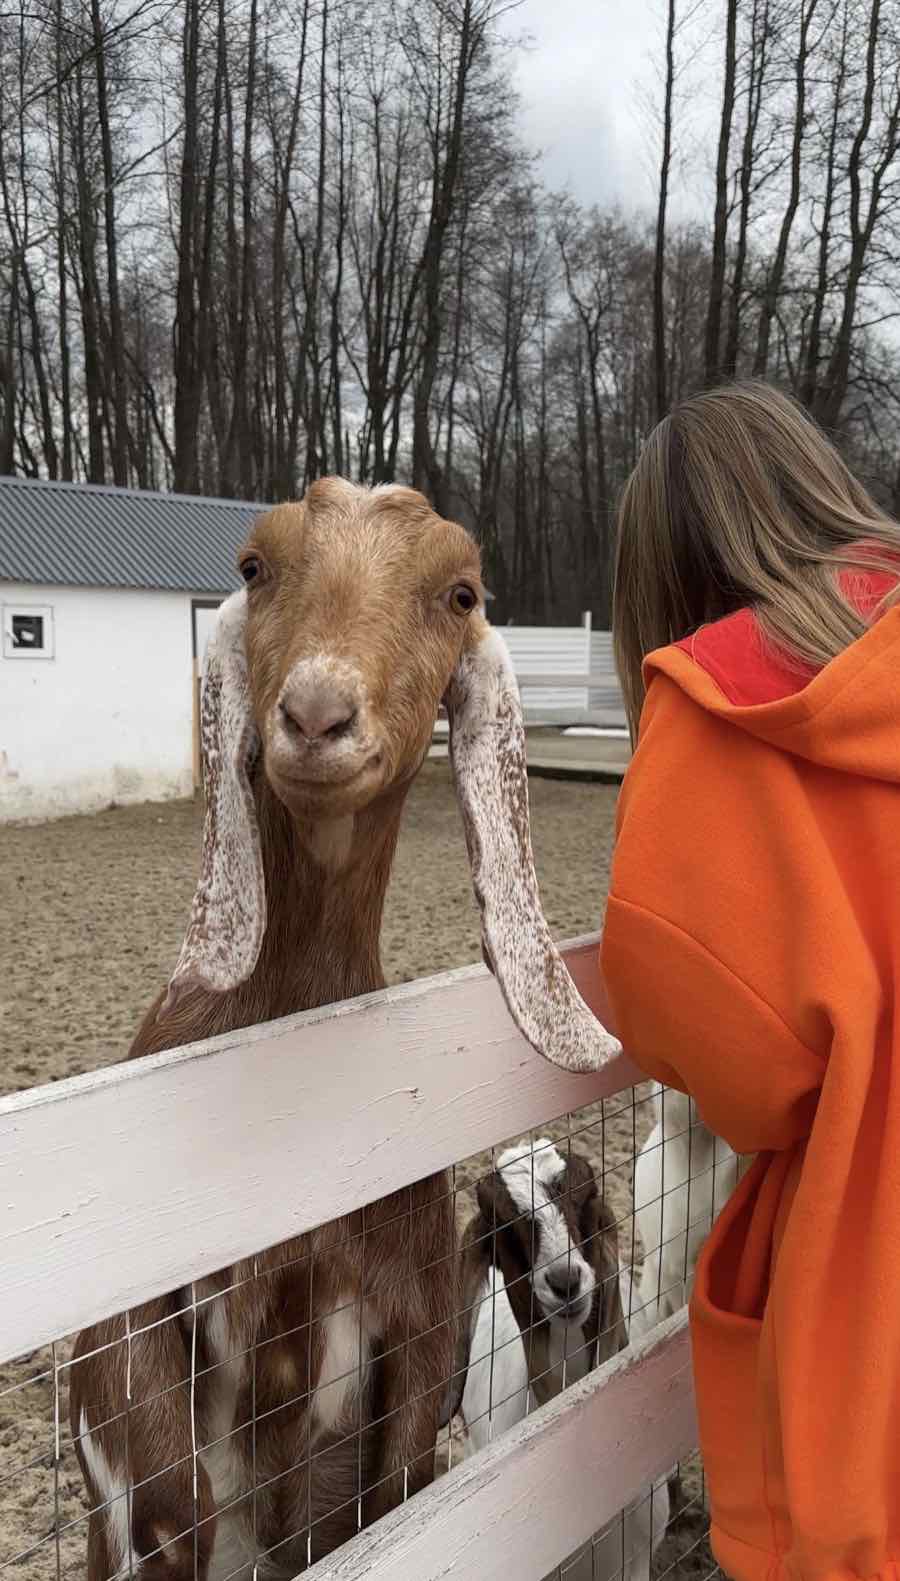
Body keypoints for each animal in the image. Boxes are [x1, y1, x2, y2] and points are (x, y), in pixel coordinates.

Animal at [68, 480, 619, 1581]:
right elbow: (167, 1492)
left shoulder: (414, 1329)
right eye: (252, 566)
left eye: (460, 592)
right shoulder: (122, 1350)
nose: (316, 714)